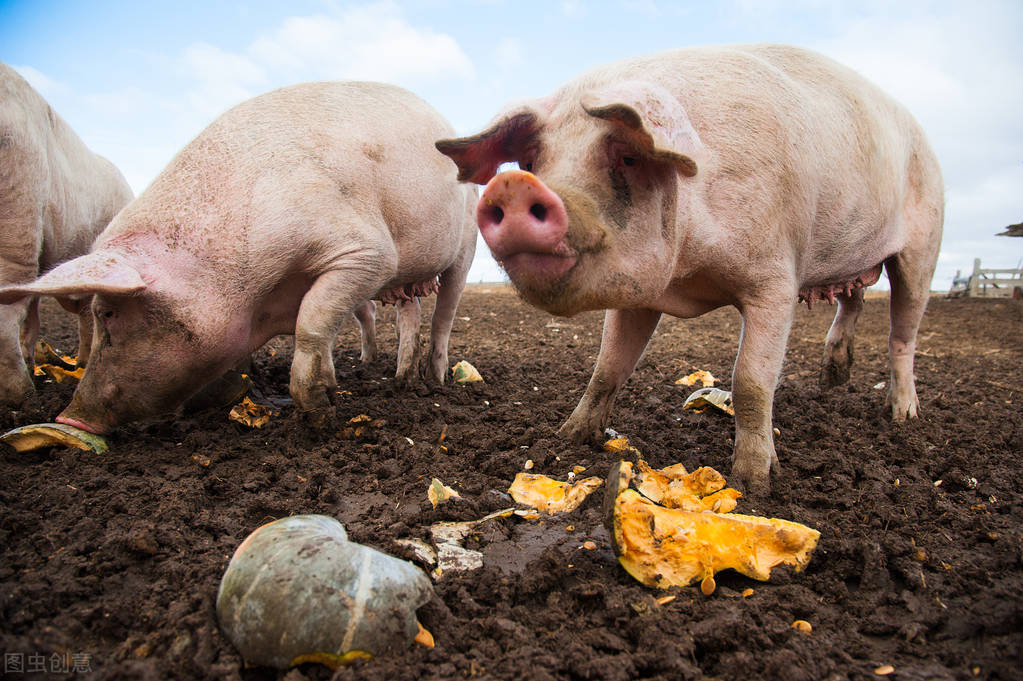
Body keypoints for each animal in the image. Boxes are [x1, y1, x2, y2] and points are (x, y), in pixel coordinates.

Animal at [439, 44, 941, 490]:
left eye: (629, 156)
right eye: (530, 161)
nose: (512, 185)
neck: (689, 275)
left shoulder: (776, 279)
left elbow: (751, 381)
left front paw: (755, 482)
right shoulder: (639, 294)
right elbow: (607, 367)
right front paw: (566, 438)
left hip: (923, 247)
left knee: (902, 334)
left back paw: (903, 416)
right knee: (853, 301)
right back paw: (831, 383)